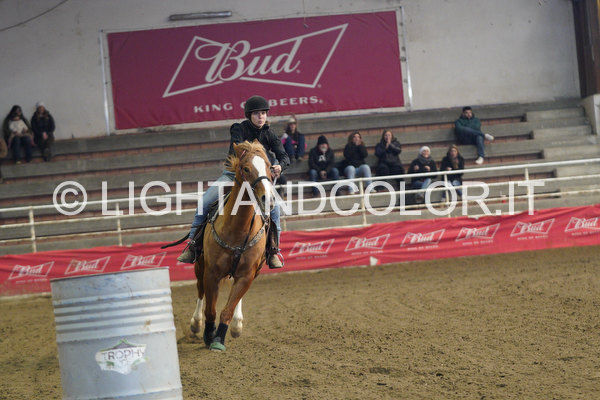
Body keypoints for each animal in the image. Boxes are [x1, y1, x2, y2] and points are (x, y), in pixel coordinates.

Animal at [189, 140, 274, 351]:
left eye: (269, 167)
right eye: (246, 168)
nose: (268, 199)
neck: (237, 229)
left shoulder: (247, 274)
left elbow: (227, 309)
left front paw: (220, 338)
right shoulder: (211, 272)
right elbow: (210, 309)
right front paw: (208, 334)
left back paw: (237, 325)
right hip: (199, 266)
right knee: (200, 292)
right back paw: (196, 324)